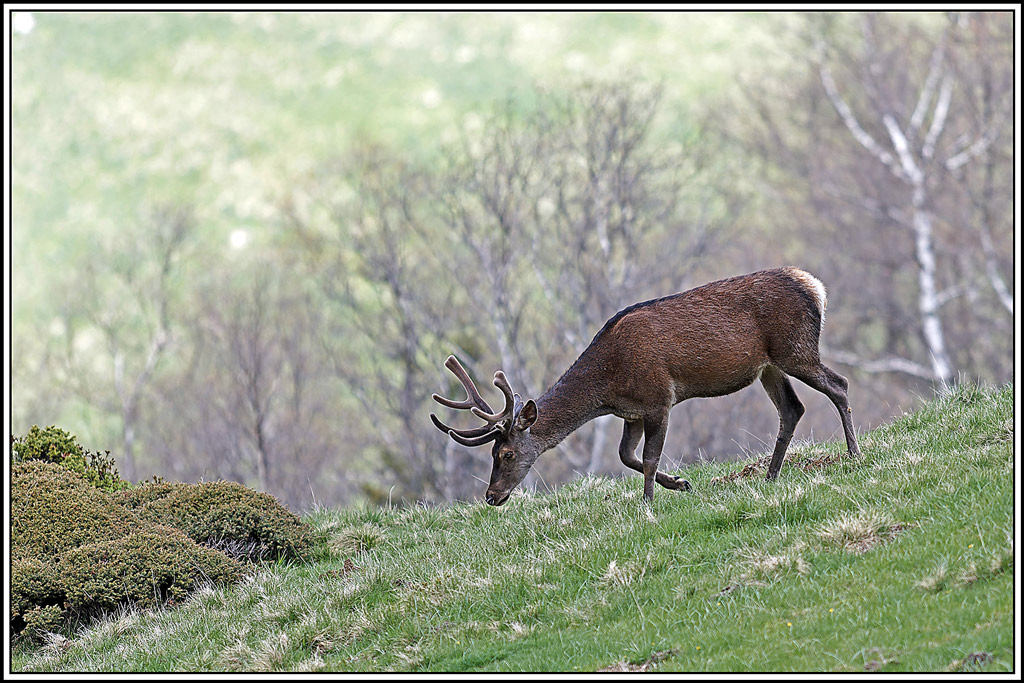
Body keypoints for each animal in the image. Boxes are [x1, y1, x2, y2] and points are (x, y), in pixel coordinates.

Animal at [431, 267, 861, 506]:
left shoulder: (658, 397)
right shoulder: (632, 411)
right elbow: (625, 456)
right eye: (492, 453)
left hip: (795, 348)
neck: (608, 384)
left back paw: (854, 455)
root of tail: (816, 287)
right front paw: (681, 484)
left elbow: (650, 457)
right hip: (769, 366)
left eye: (505, 454)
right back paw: (770, 476)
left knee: (839, 385)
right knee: (792, 408)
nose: (491, 497)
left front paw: (649, 503)